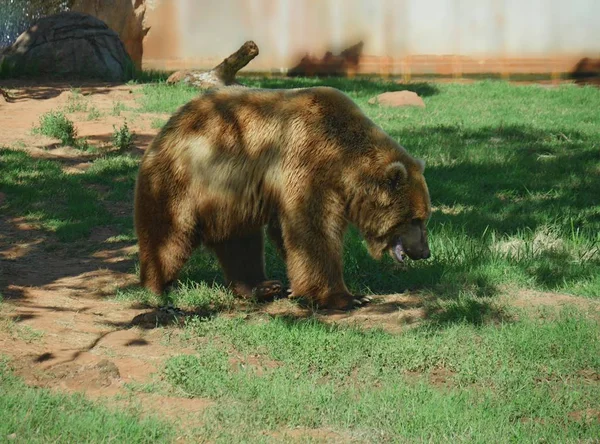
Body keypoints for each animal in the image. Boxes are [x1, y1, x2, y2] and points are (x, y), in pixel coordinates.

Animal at [134, 86, 432, 308]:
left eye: (425, 217)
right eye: (415, 219)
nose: (425, 252)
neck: (343, 161)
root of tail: (168, 126)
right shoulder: (309, 161)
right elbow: (314, 231)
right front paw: (348, 297)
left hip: (230, 197)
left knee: (240, 241)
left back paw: (262, 287)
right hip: (183, 181)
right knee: (169, 233)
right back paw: (158, 287)